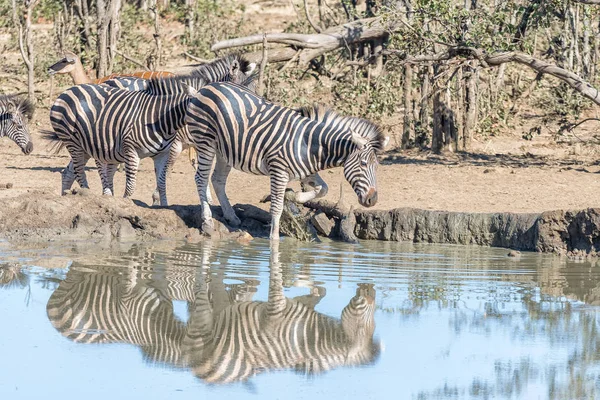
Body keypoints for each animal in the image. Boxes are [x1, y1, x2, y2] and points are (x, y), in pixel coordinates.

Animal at [44, 54, 255, 205]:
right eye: (238, 90)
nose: (244, 120)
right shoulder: (177, 145)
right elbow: (168, 172)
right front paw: (156, 199)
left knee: (71, 169)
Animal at [184, 81, 390, 238]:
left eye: (377, 167)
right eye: (363, 164)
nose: (373, 200)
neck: (310, 145)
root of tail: (206, 87)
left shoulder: (307, 171)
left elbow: (323, 189)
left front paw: (294, 196)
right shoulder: (278, 172)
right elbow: (276, 209)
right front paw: (274, 242)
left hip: (224, 151)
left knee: (217, 180)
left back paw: (231, 216)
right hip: (205, 143)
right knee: (201, 179)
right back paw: (207, 221)